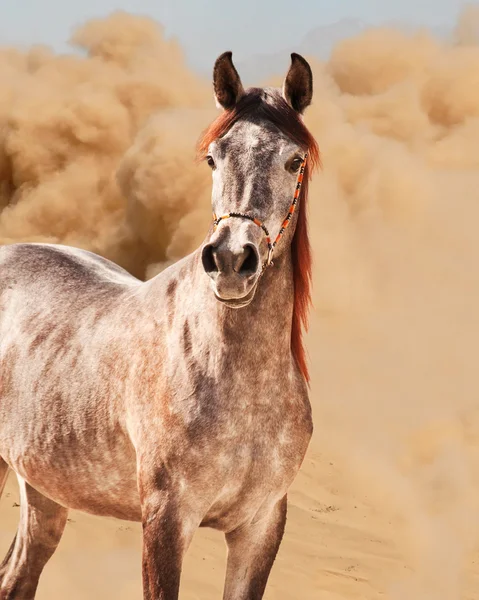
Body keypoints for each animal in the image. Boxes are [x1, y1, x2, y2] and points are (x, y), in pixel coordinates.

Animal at [1, 50, 320, 596]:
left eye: (294, 160)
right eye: (213, 157)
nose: (232, 260)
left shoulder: (259, 527)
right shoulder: (168, 520)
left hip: (43, 488)